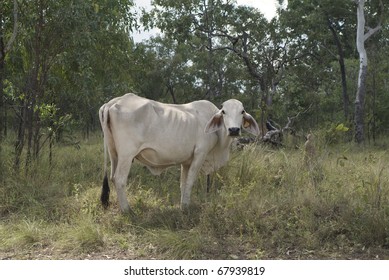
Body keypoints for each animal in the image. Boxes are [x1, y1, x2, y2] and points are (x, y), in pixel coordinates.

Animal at [98, 92, 260, 212]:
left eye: (242, 111)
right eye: (224, 112)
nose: (234, 130)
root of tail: (113, 102)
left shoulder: (187, 161)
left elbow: (183, 184)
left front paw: (183, 205)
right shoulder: (200, 155)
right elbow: (190, 182)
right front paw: (186, 208)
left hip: (114, 154)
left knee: (112, 177)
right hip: (126, 155)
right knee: (119, 179)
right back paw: (127, 210)